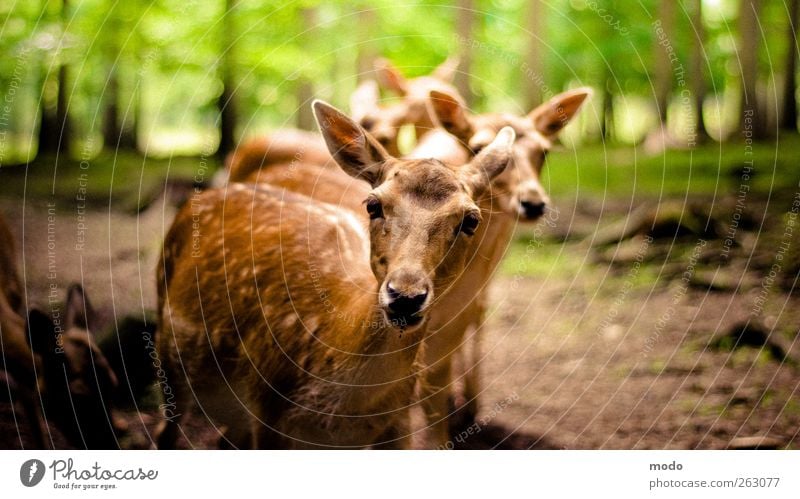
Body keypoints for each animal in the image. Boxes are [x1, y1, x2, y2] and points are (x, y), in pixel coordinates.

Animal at [156, 98, 512, 450]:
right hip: (167, 344)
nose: (406, 296)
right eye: (372, 205)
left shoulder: (398, 423)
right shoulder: (267, 405)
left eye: (471, 220)